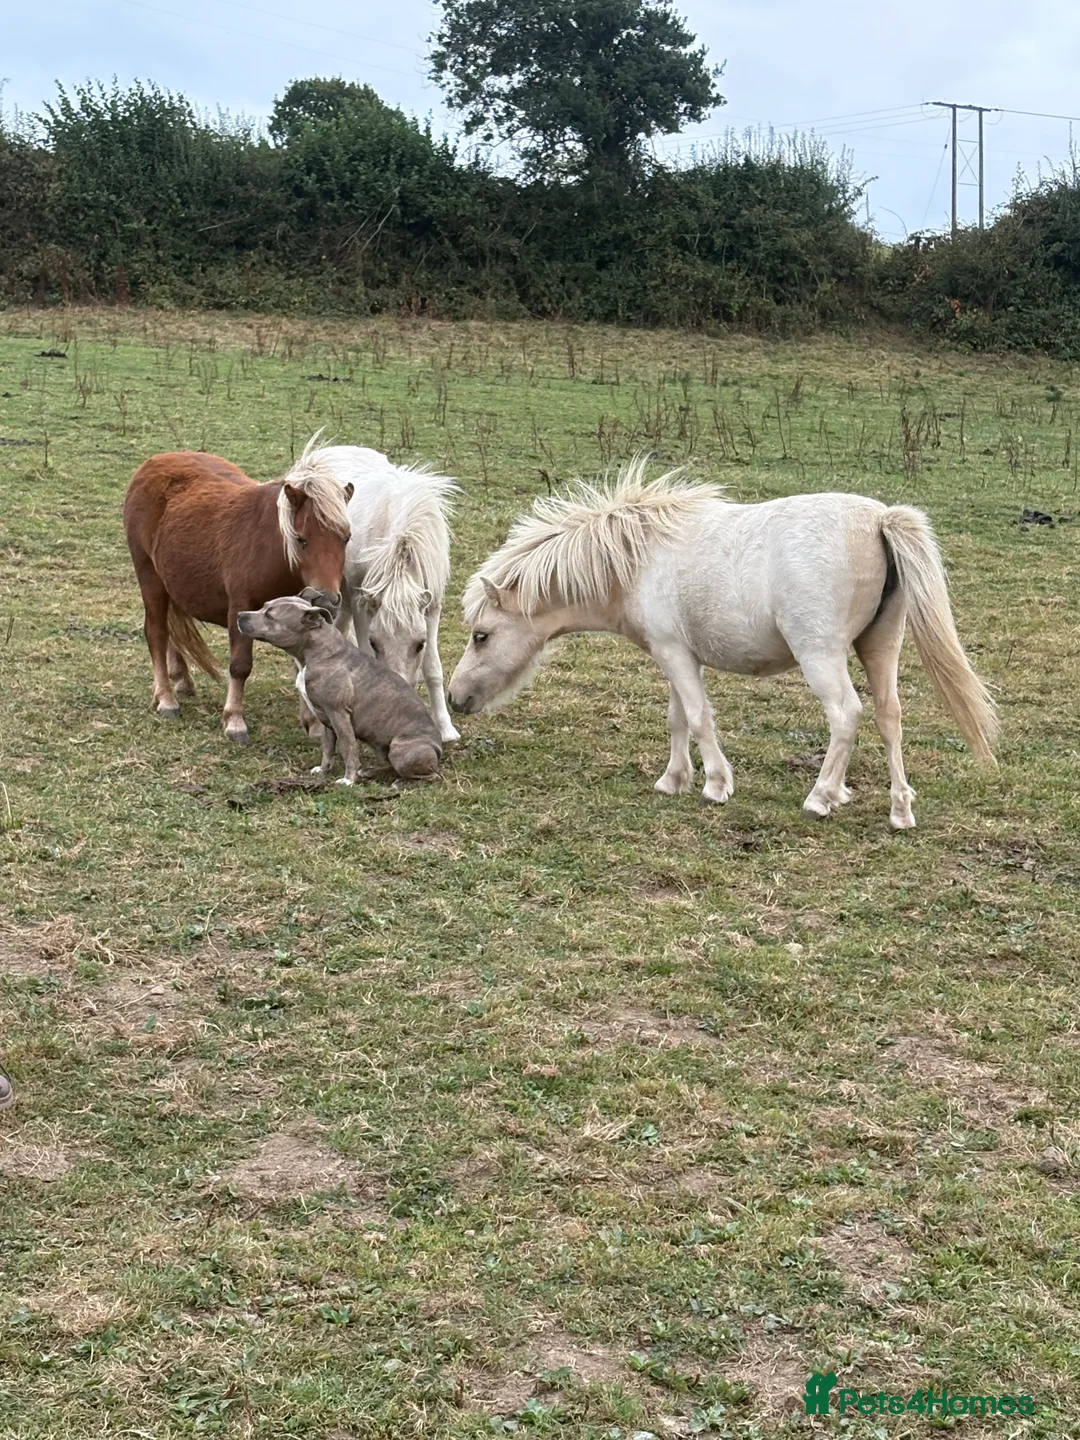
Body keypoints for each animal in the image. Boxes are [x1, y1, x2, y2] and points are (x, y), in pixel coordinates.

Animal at [124, 450, 353, 742]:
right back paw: (166, 698)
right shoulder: (240, 609)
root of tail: (153, 463)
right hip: (149, 576)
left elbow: (302, 666)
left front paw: (313, 723)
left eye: (345, 538)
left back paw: (181, 678)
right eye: (301, 539)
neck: (272, 550)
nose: (327, 599)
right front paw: (234, 720)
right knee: (156, 632)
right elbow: (240, 666)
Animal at [279, 439, 460, 743]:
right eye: (377, 644)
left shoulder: (433, 604)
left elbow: (433, 668)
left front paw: (447, 729)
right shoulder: (361, 600)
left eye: (419, 644)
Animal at [447, 459, 998, 829]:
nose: (455, 698)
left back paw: (820, 797)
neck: (636, 558)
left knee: (847, 715)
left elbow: (698, 717)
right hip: (879, 647)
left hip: (820, 656)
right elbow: (677, 718)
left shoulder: (675, 655)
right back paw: (898, 809)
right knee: (888, 717)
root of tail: (880, 520)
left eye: (481, 635)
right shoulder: (674, 656)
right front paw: (673, 780)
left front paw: (715, 784)